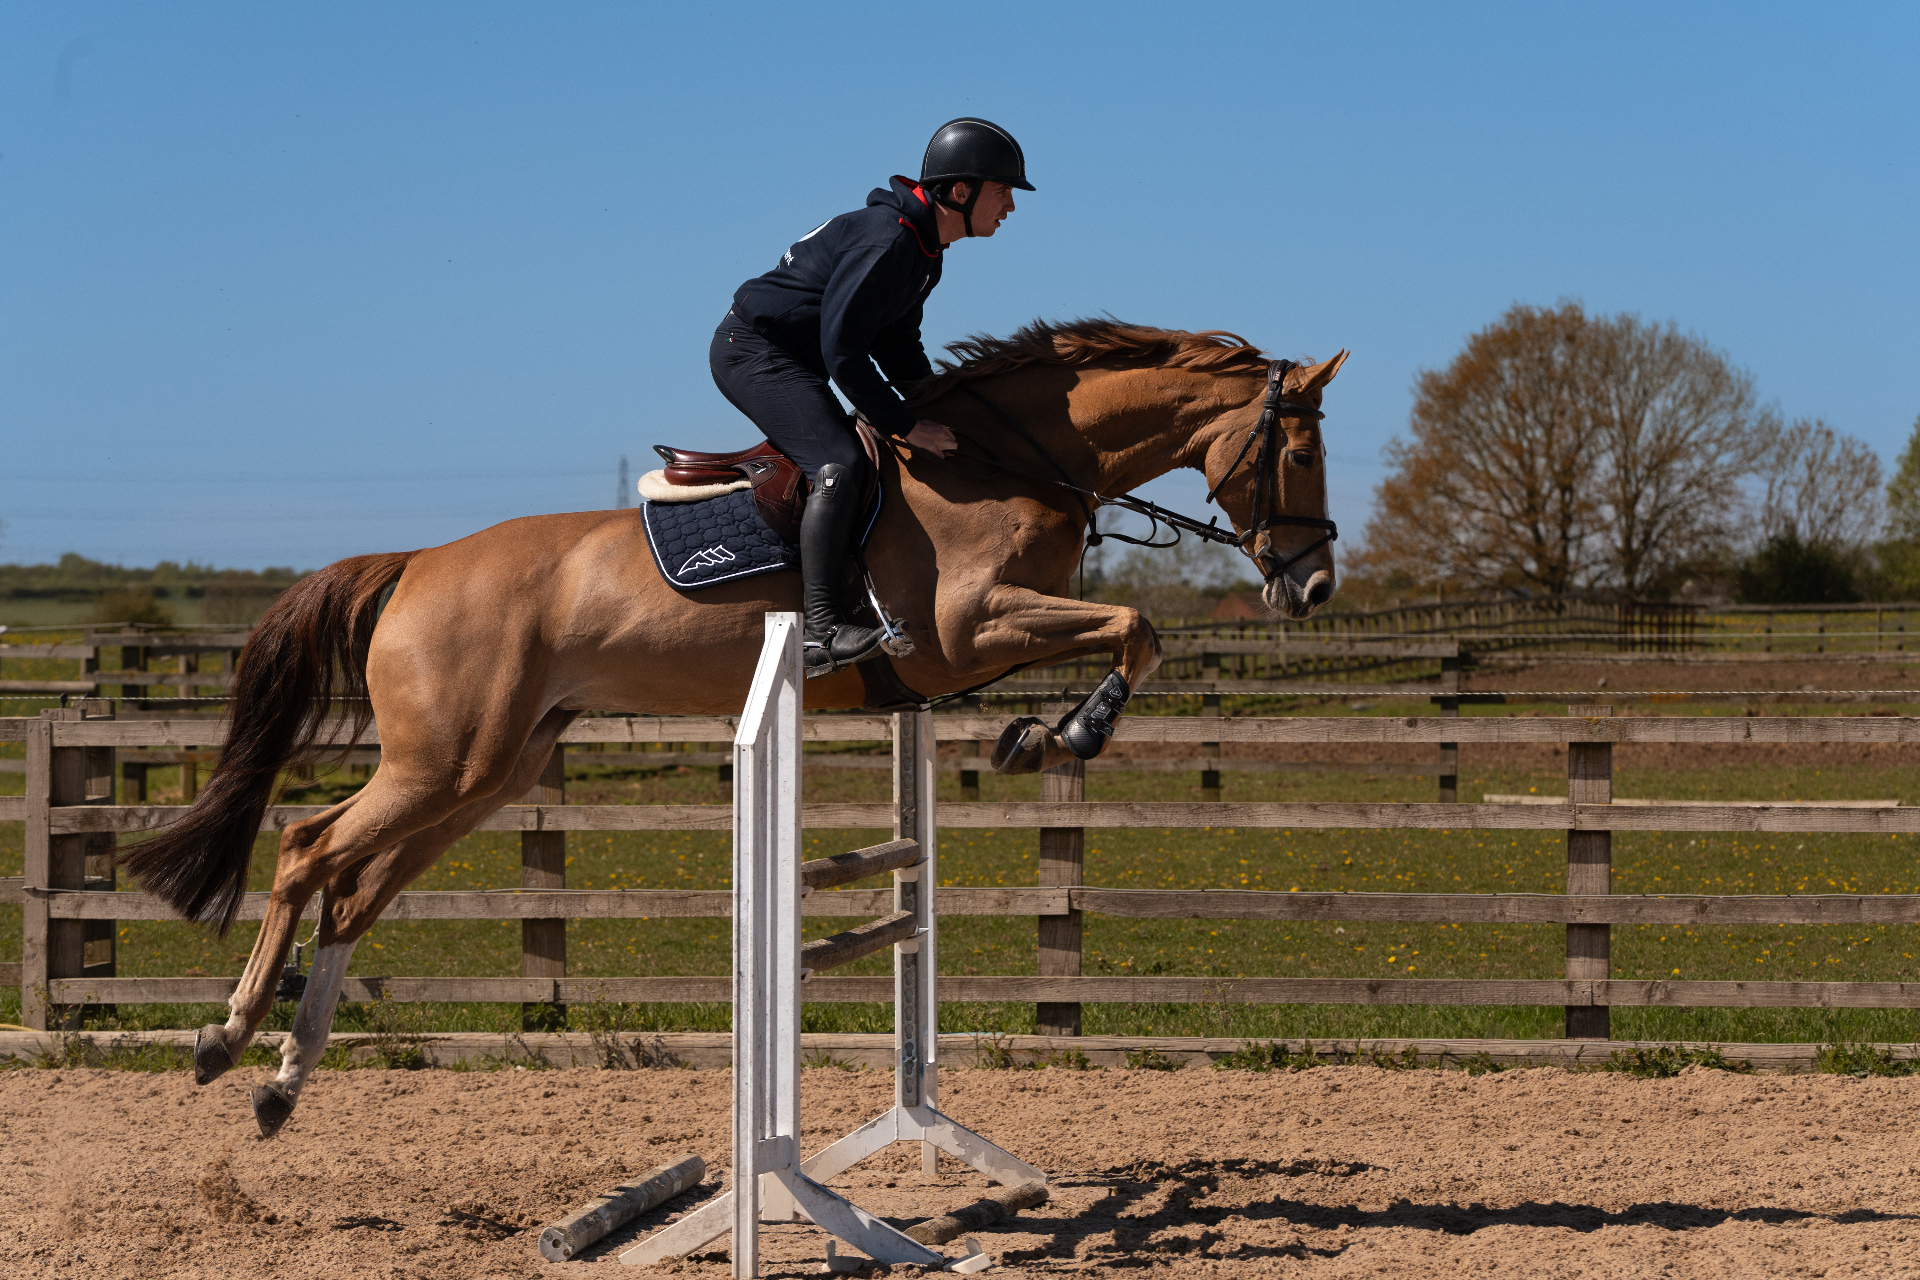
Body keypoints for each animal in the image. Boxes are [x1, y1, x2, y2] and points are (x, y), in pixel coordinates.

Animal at [120, 317, 1346, 1136]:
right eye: (1299, 451)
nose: (1316, 584)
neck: (1008, 461)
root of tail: (418, 562)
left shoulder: (982, 641)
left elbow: (1130, 631)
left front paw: (1032, 737)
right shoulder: (964, 630)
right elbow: (1138, 628)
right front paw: (1061, 737)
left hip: (490, 772)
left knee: (356, 889)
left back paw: (283, 1080)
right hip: (442, 761)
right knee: (305, 848)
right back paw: (225, 1039)